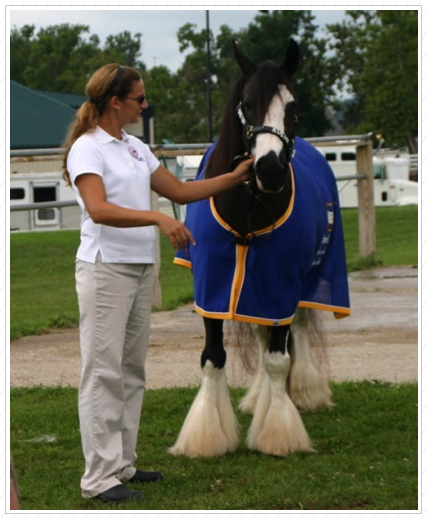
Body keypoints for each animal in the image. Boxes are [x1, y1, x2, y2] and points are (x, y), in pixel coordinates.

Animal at [169, 39, 350, 460]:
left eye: (293, 105)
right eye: (248, 102)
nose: (269, 168)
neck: (247, 206)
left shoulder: (280, 283)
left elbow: (278, 358)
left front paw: (278, 432)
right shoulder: (214, 288)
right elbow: (213, 358)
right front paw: (206, 435)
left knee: (292, 333)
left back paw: (303, 391)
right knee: (261, 335)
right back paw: (256, 399)